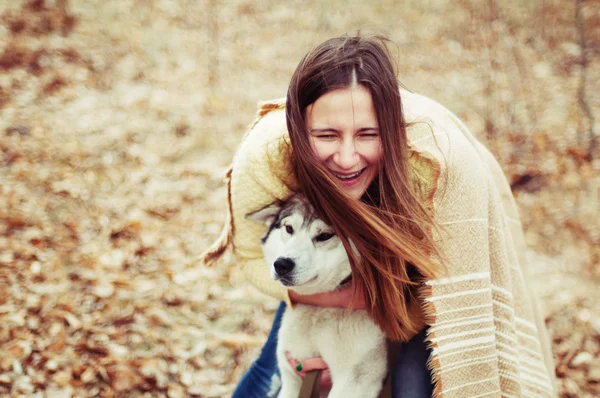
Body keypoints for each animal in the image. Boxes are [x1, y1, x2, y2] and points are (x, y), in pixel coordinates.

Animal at [246, 195, 386, 398]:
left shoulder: (354, 381)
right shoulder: (293, 374)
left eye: (324, 235)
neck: (319, 312)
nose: (281, 265)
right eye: (289, 228)